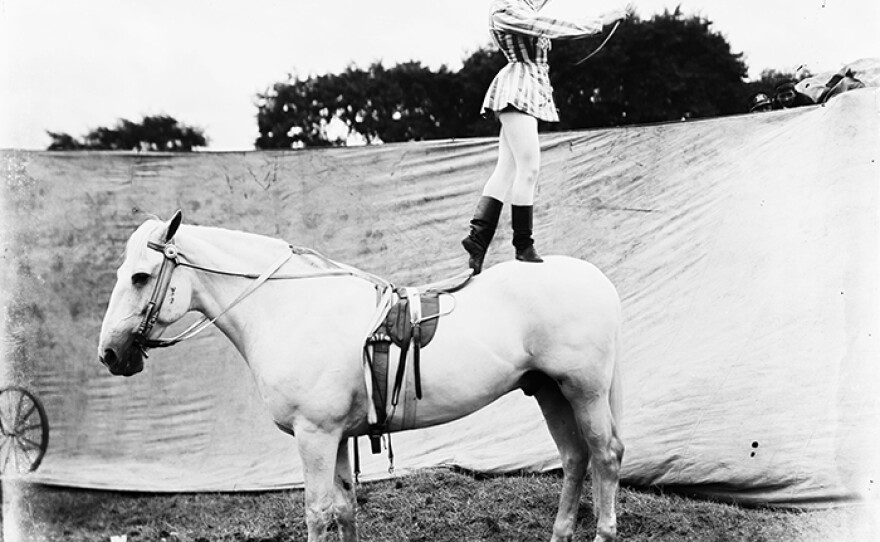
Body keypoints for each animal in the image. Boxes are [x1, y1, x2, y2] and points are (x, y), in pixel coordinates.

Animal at [97, 210, 624, 542]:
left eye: (141, 277)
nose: (109, 353)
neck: (292, 307)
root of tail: (599, 280)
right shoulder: (336, 436)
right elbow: (345, 508)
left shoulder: (314, 435)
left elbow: (317, 512)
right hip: (550, 392)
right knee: (575, 458)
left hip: (584, 391)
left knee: (605, 456)